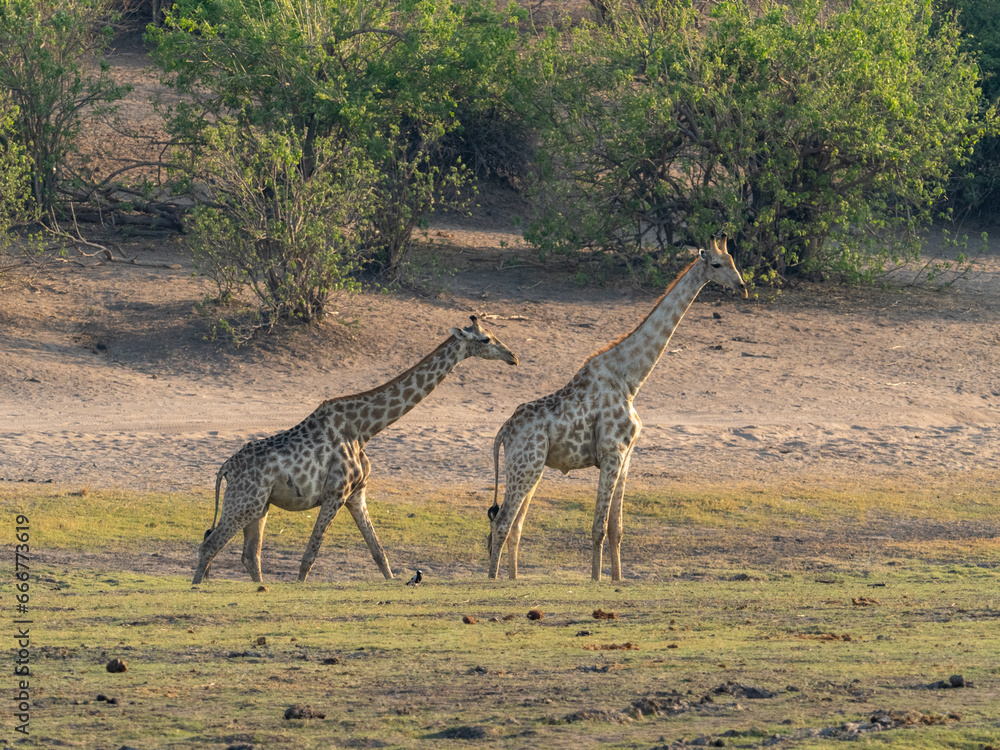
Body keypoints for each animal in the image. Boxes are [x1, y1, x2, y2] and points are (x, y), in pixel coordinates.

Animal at [193, 316, 518, 585]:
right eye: (486, 339)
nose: (513, 356)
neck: (364, 429)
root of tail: (225, 468)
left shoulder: (356, 494)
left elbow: (379, 553)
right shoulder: (335, 493)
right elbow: (310, 555)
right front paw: (299, 588)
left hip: (260, 506)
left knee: (250, 555)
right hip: (244, 503)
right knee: (209, 544)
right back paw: (198, 587)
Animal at [487, 236, 747, 582]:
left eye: (734, 262)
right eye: (717, 264)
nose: (742, 286)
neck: (631, 378)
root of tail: (503, 431)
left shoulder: (626, 457)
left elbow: (616, 529)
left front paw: (617, 579)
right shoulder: (611, 453)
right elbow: (598, 527)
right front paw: (596, 580)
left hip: (533, 469)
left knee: (514, 527)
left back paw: (513, 579)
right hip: (524, 466)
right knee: (501, 523)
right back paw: (491, 581)